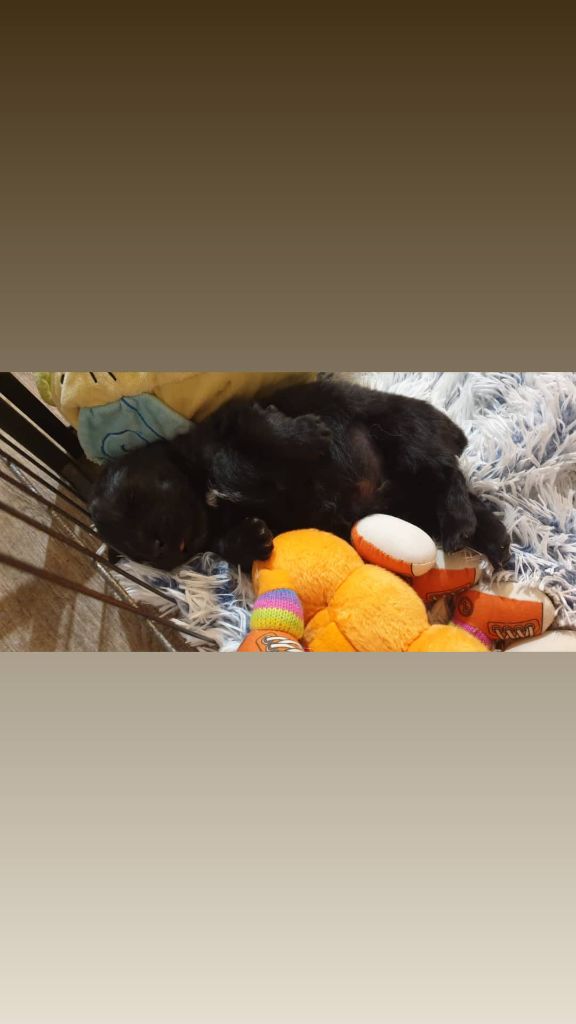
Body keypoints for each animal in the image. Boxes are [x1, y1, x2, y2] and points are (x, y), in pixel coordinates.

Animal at [89, 378, 511, 573]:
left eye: (134, 497)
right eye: (137, 553)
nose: (161, 549)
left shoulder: (234, 417)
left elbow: (257, 429)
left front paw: (309, 434)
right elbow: (225, 543)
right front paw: (251, 540)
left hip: (402, 431)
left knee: (447, 473)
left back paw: (459, 524)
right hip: (410, 503)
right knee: (464, 499)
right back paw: (493, 541)